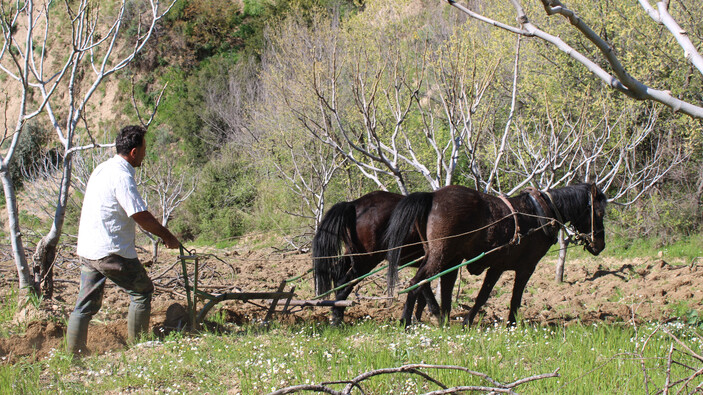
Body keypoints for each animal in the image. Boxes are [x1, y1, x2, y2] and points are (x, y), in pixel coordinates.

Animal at [312, 191, 438, 324]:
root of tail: (354, 204)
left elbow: (423, 289)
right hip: (366, 261)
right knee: (345, 283)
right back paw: (337, 318)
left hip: (353, 255)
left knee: (337, 275)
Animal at [382, 184, 608, 326]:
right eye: (599, 213)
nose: (600, 244)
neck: (541, 214)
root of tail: (432, 196)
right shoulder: (525, 268)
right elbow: (511, 298)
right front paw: (510, 325)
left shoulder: (497, 266)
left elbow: (483, 295)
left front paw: (466, 322)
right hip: (441, 254)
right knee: (416, 282)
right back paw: (406, 321)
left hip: (445, 257)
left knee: (435, 285)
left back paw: (440, 319)